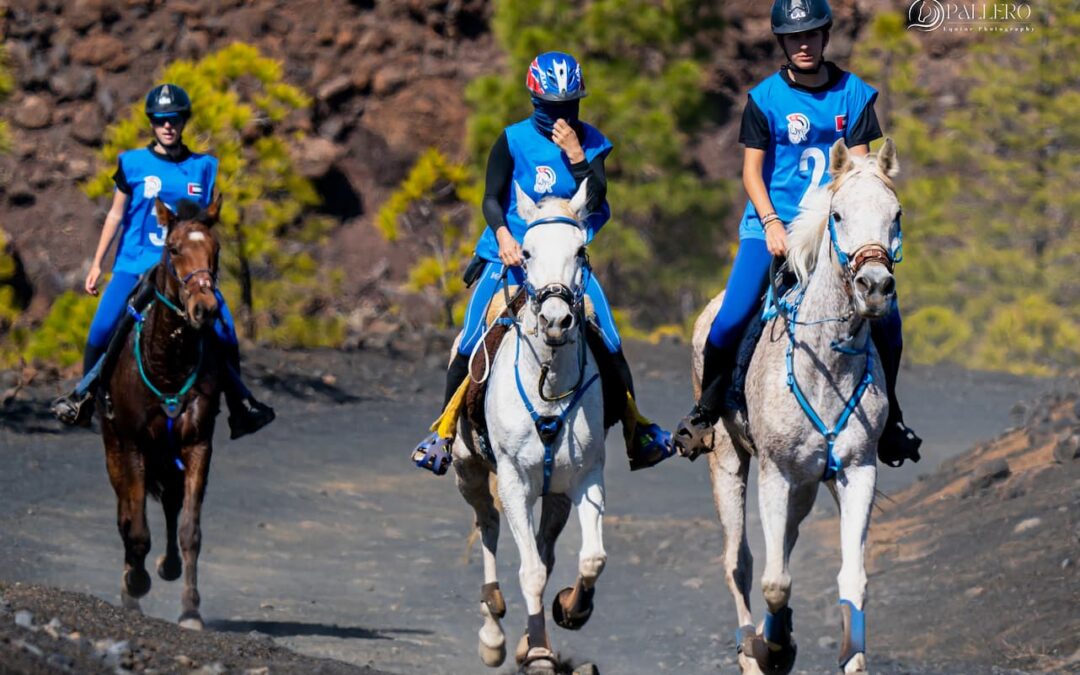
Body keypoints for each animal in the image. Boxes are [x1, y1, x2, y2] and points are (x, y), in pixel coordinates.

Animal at [102, 192, 225, 630]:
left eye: (216, 249)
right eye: (172, 249)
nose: (205, 308)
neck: (168, 363)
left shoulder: (198, 445)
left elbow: (190, 529)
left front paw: (190, 610)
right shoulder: (133, 445)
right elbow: (135, 527)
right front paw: (135, 585)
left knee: (170, 506)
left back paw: (166, 567)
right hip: (114, 448)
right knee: (125, 513)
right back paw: (131, 585)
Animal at [453, 180, 609, 673]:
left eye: (580, 250)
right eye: (525, 251)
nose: (556, 320)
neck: (549, 390)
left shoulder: (585, 477)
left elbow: (591, 559)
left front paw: (572, 608)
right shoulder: (514, 482)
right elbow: (531, 572)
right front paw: (538, 653)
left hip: (554, 494)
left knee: (545, 546)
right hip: (470, 472)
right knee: (487, 523)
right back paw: (493, 629)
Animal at [686, 139, 898, 669]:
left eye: (896, 215)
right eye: (838, 215)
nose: (874, 287)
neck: (827, 364)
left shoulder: (856, 471)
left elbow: (852, 579)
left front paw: (851, 658)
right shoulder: (775, 475)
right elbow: (775, 580)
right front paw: (776, 648)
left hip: (804, 485)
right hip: (729, 462)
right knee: (739, 561)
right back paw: (751, 648)